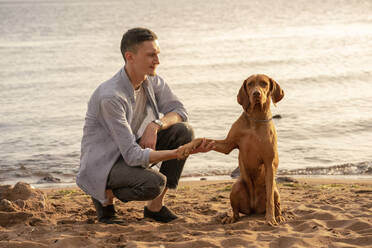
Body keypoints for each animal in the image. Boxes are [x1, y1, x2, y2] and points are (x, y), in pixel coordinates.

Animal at [177, 74, 284, 226]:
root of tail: (254, 209)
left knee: (275, 200)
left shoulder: (269, 163)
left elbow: (269, 199)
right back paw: (231, 218)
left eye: (264, 83)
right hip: (236, 187)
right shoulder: (227, 145)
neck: (255, 119)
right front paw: (185, 148)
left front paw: (270, 218)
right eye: (250, 84)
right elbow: (202, 139)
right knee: (236, 211)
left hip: (274, 189)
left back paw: (278, 216)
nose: (256, 93)